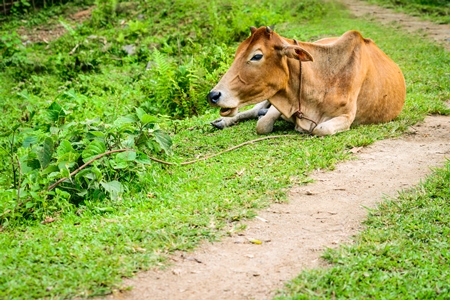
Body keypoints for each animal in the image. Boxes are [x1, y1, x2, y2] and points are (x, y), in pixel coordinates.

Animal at [207, 25, 408, 136]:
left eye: (257, 56)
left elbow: (320, 129)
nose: (213, 95)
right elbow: (262, 125)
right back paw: (223, 121)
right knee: (255, 110)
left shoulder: (347, 116)